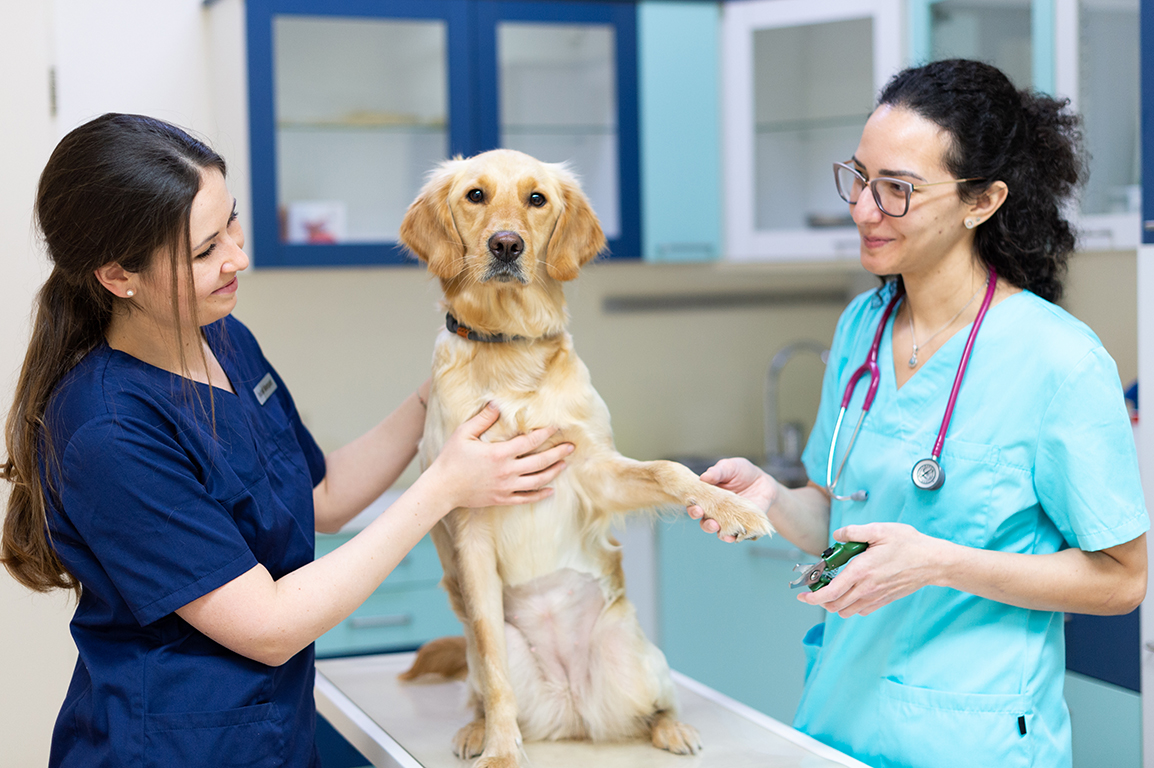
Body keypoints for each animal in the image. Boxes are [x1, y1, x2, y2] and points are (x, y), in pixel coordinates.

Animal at [399, 149, 775, 765]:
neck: (510, 352)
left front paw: (728, 506)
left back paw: (672, 728)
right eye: (475, 195)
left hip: (637, 659)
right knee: (482, 680)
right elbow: (495, 669)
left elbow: (669, 469)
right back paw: (476, 730)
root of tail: (574, 710)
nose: (506, 245)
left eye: (537, 199)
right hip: (491, 657)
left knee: (657, 707)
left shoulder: (595, 473)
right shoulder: (469, 521)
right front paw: (501, 750)